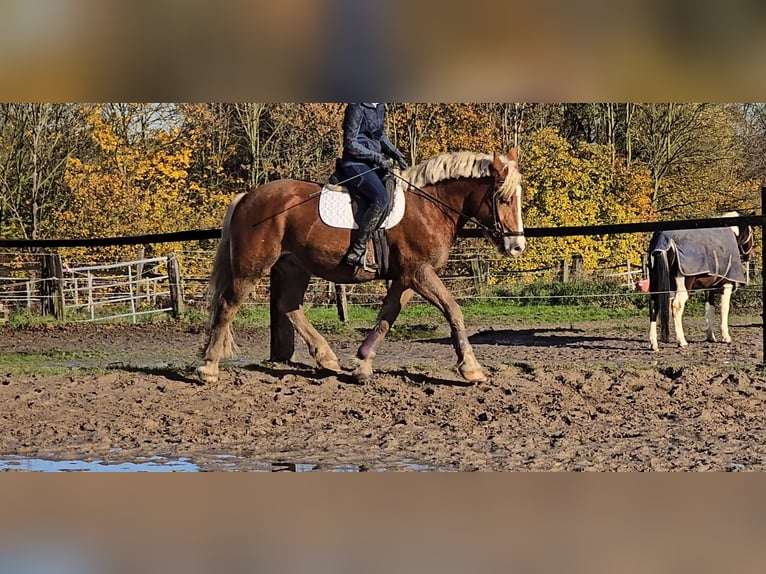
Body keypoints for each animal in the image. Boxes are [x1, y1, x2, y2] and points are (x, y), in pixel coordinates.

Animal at [196, 150, 528, 382]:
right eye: (503, 199)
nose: (517, 247)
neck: (430, 206)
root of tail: (248, 196)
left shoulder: (406, 278)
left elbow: (386, 318)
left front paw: (361, 364)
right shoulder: (420, 272)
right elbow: (453, 310)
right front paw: (471, 368)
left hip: (294, 266)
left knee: (288, 306)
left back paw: (327, 359)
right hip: (250, 268)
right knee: (228, 306)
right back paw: (209, 367)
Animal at [648, 214, 756, 354]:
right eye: (751, 232)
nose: (748, 257)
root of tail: (664, 242)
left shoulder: (708, 288)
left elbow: (709, 309)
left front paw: (711, 337)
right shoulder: (726, 285)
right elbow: (724, 309)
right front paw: (726, 337)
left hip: (655, 285)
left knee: (653, 306)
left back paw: (654, 344)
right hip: (682, 286)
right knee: (676, 306)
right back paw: (682, 341)